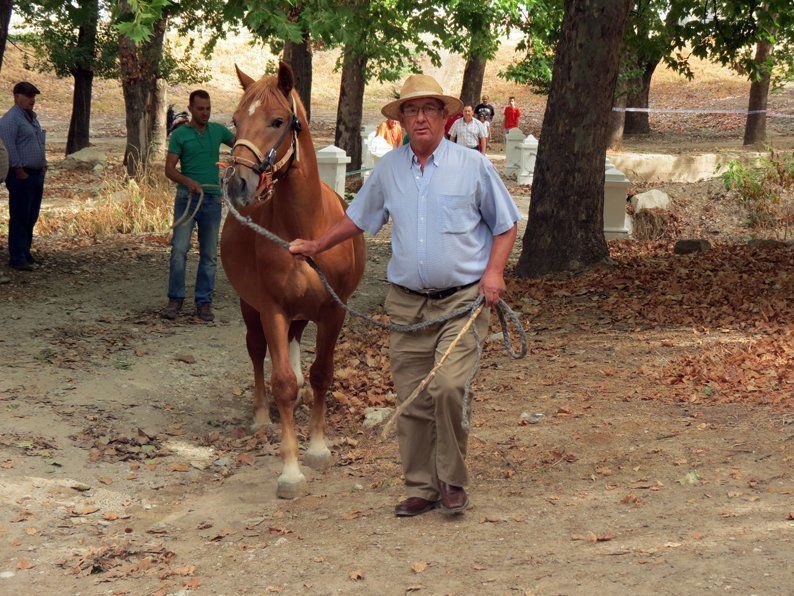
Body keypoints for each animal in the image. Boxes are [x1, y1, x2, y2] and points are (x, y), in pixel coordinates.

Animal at [218, 62, 364, 498]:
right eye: (235, 121)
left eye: (278, 121)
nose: (237, 184)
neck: (305, 228)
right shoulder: (273, 310)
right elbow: (281, 381)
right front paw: (291, 470)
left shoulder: (333, 311)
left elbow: (321, 375)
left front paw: (317, 447)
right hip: (250, 308)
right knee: (256, 353)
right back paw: (260, 417)